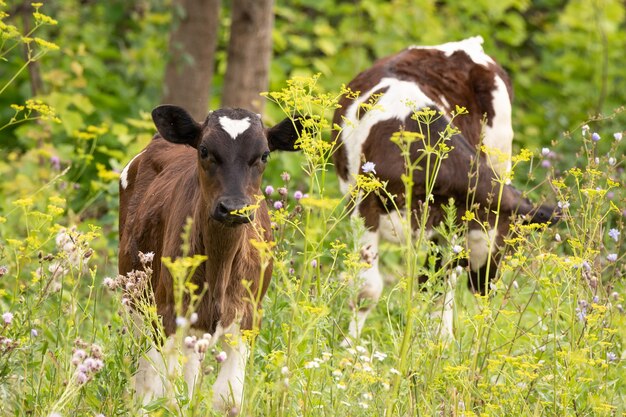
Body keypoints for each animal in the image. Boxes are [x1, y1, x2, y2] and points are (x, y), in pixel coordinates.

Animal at [119, 105, 300, 412]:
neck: (221, 266)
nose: (234, 208)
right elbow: (164, 392)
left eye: (264, 154)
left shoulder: (248, 317)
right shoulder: (170, 314)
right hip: (137, 300)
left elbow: (226, 396)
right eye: (204, 150)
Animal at [332, 35, 556, 342]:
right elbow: (367, 289)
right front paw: (348, 348)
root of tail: (468, 45)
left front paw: (438, 343)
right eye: (508, 244)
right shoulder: (365, 208)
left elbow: (436, 283)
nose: (486, 286)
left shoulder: (448, 222)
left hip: (500, 154)